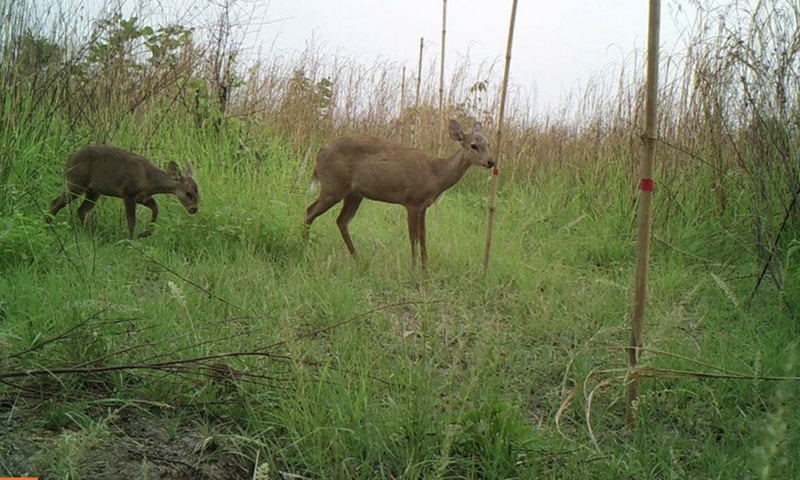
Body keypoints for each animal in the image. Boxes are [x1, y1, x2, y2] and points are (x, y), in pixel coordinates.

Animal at [48, 145, 199, 239]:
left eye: (198, 192)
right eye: (188, 193)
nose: (194, 209)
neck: (149, 180)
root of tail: (67, 161)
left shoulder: (144, 197)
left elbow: (156, 209)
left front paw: (145, 234)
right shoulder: (128, 193)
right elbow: (131, 221)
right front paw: (130, 242)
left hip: (93, 191)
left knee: (81, 210)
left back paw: (89, 234)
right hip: (76, 183)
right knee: (56, 202)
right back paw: (48, 225)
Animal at [304, 119, 495, 267]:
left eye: (488, 143)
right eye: (473, 145)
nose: (491, 162)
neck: (436, 175)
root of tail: (319, 152)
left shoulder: (423, 205)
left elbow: (423, 236)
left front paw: (425, 267)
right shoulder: (411, 201)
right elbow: (413, 237)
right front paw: (414, 268)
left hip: (354, 194)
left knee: (341, 221)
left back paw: (358, 260)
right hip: (333, 186)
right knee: (309, 211)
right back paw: (304, 248)